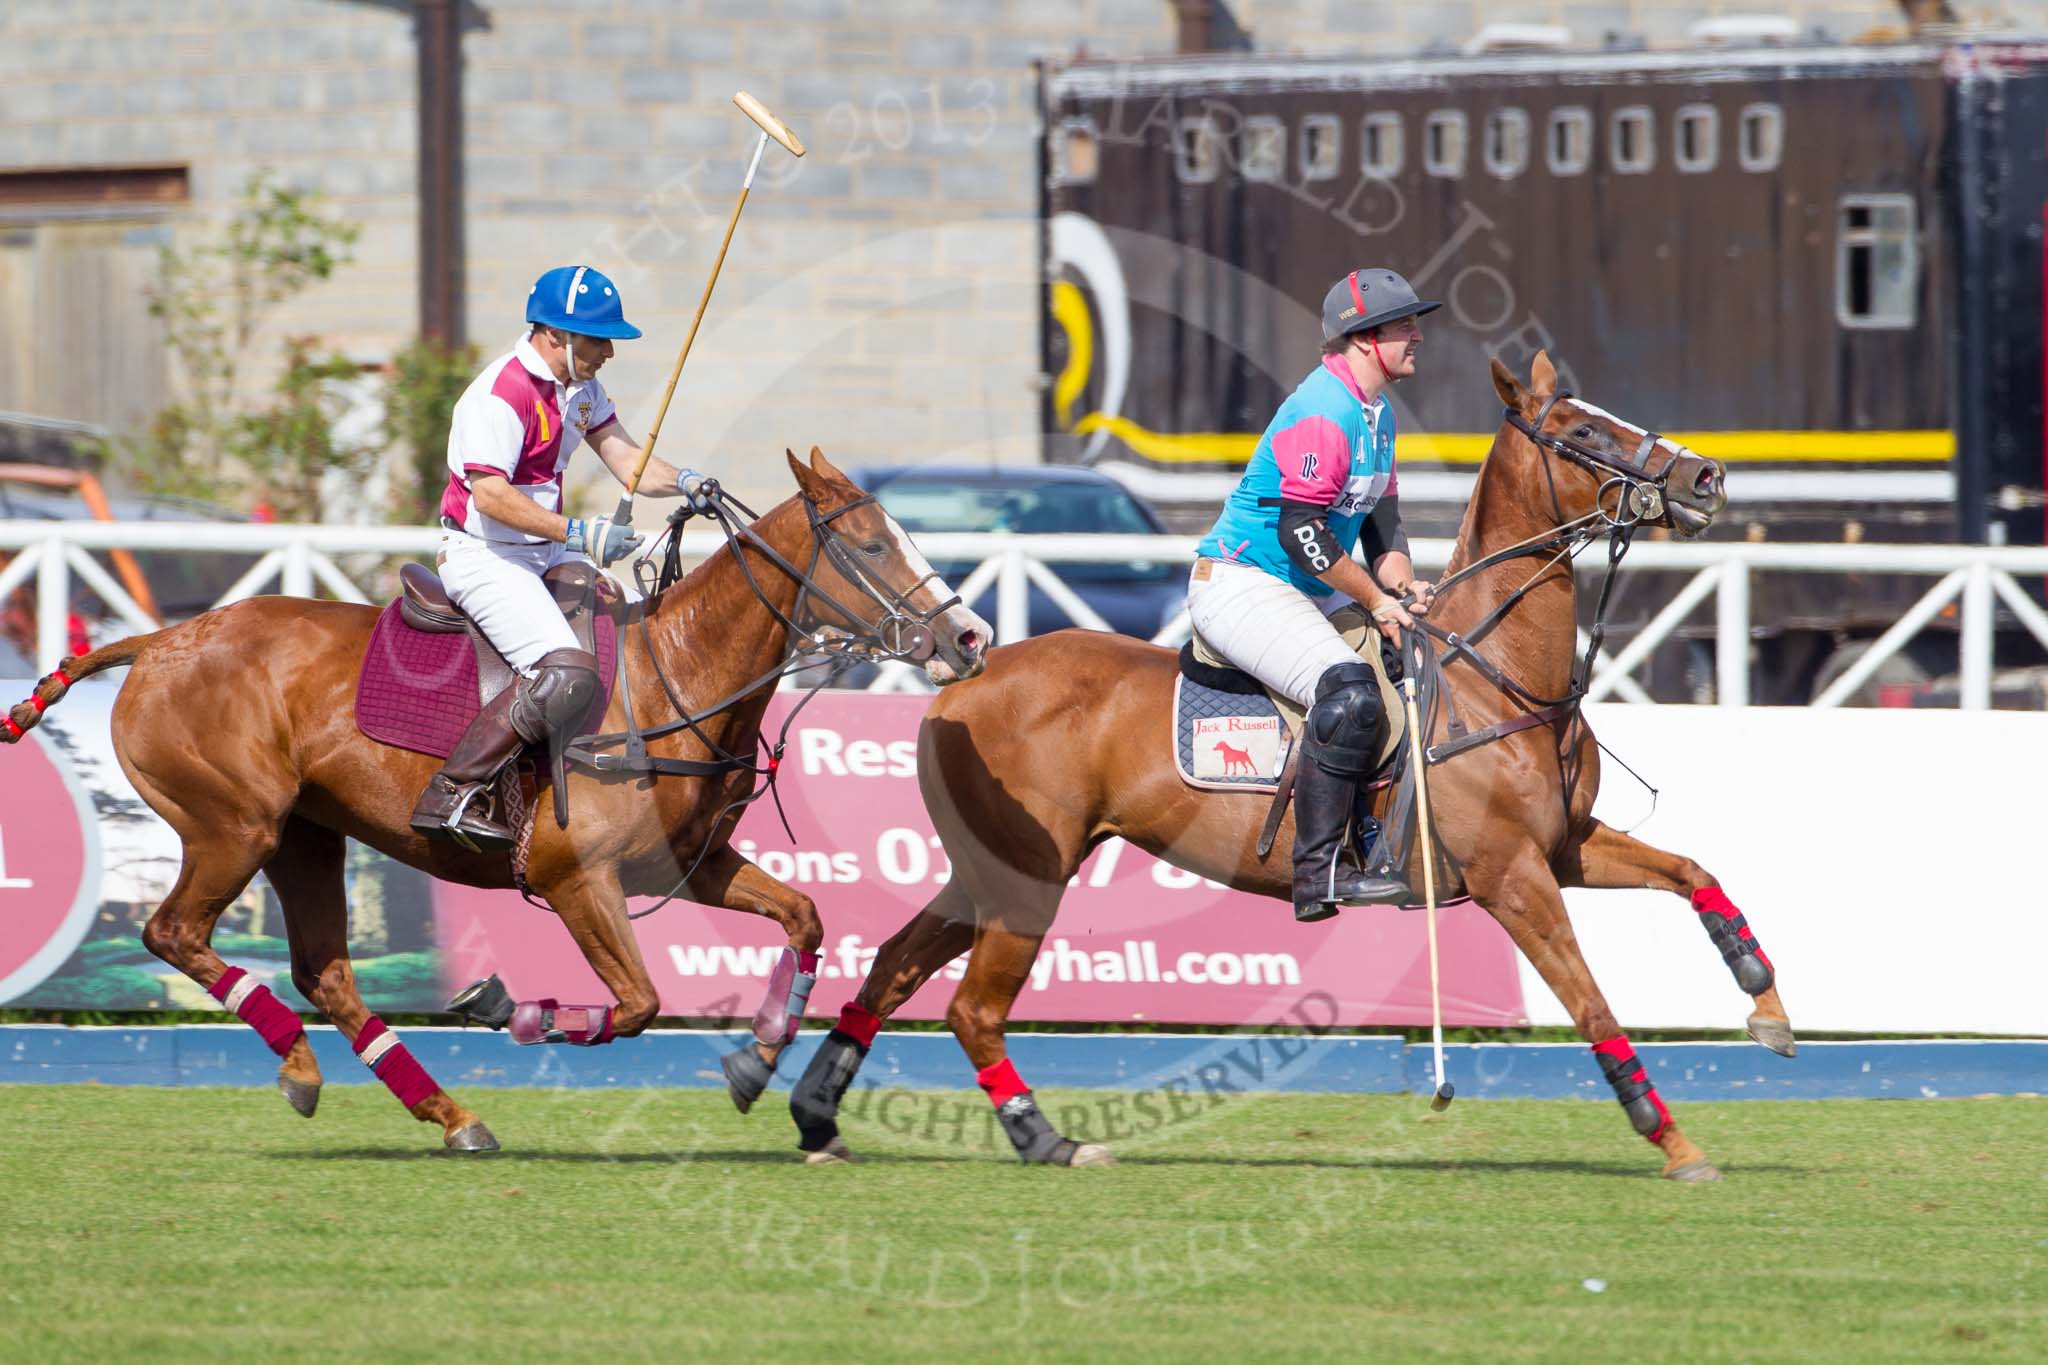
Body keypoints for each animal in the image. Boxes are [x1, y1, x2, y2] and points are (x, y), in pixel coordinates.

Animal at [6, 454, 983, 1146]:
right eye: (870, 545)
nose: (969, 638)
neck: (676, 679)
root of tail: (158, 640)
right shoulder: (571, 877)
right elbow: (638, 1003)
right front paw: (500, 1005)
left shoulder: (693, 866)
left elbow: (805, 916)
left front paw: (755, 1059)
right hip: (233, 825)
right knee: (173, 932)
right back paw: (310, 1067)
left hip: (305, 835)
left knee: (324, 969)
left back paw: (444, 1114)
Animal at [790, 358, 1802, 1178]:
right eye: (1583, 431)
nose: (1706, 475)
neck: (1497, 673)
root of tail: (961, 678)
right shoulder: (1513, 874)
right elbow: (1591, 1003)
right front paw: (1673, 1140)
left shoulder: (1566, 845)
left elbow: (1694, 871)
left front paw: (1766, 1001)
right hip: (1030, 872)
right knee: (971, 1007)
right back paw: (1045, 1138)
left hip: (988, 867)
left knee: (894, 963)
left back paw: (816, 1112)